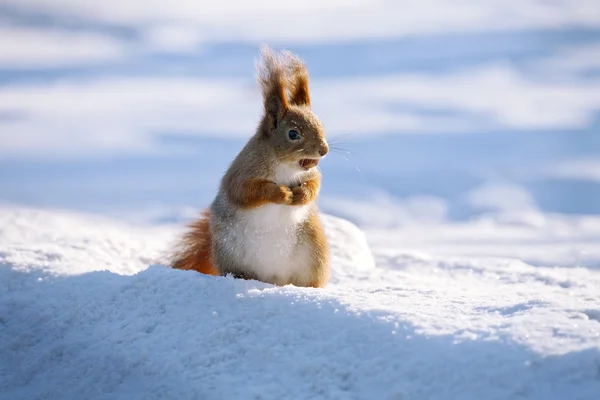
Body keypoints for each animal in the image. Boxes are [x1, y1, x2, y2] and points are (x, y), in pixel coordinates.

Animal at [169, 45, 330, 288]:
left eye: (321, 125)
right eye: (293, 134)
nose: (324, 150)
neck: (285, 165)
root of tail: (274, 279)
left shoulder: (311, 174)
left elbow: (314, 184)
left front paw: (300, 195)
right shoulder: (242, 171)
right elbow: (245, 192)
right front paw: (280, 193)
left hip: (314, 251)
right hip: (231, 254)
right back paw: (243, 277)